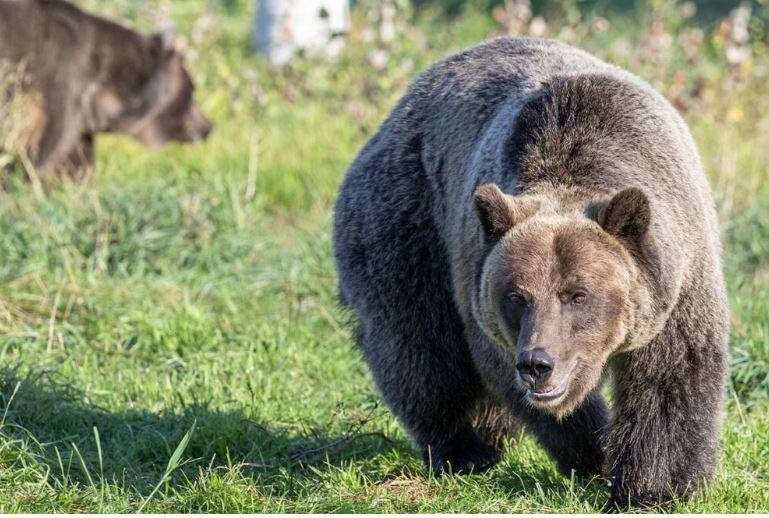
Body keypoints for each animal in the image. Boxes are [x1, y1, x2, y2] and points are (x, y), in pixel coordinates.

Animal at [0, 0, 212, 181]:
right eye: (192, 90)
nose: (209, 126)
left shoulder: (76, 122)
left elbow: (74, 163)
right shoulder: (53, 84)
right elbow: (31, 154)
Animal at [332, 38, 728, 510]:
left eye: (579, 294)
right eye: (517, 295)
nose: (537, 364)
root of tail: (396, 112)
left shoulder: (678, 278)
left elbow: (672, 375)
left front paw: (653, 487)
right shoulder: (482, 290)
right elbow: (503, 371)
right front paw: (594, 453)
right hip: (408, 223)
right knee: (418, 347)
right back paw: (466, 449)